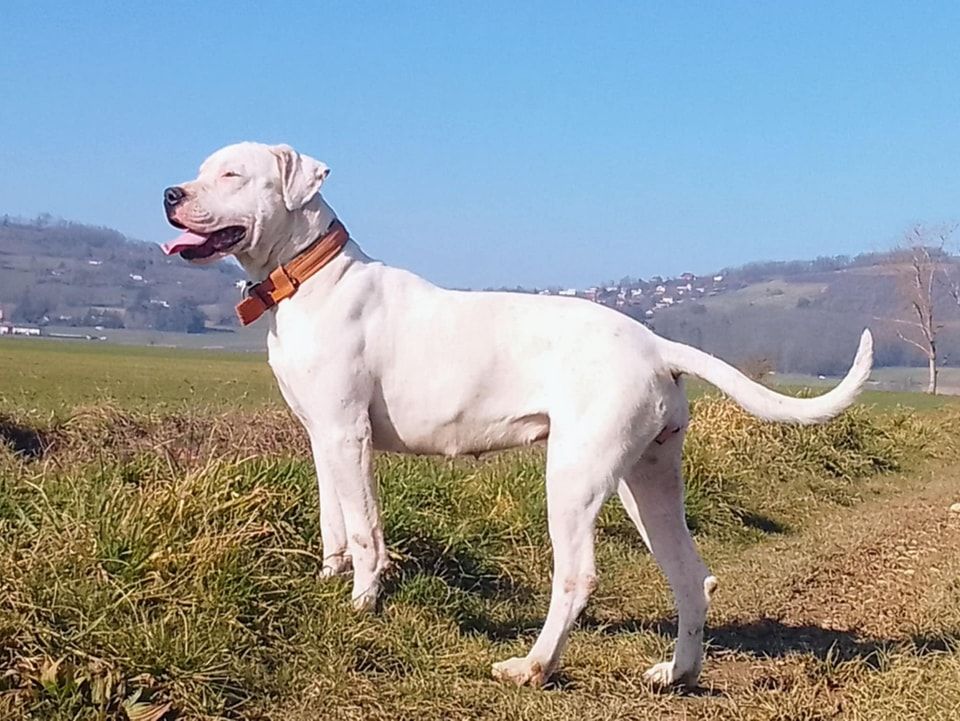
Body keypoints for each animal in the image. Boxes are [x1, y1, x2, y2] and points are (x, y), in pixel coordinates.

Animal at [163, 141, 872, 688]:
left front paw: (363, 605)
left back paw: (532, 667)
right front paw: (329, 579)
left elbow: (366, 532)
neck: (310, 278)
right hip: (647, 479)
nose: (170, 193)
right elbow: (332, 520)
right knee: (691, 576)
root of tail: (655, 344)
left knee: (578, 578)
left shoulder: (348, 432)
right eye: (202, 168)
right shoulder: (322, 436)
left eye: (232, 174)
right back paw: (676, 674)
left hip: (575, 475)